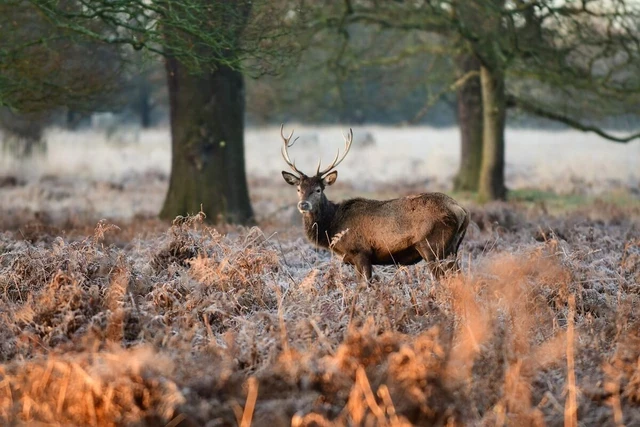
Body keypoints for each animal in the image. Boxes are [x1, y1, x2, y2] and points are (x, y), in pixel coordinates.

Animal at [280, 124, 470, 283]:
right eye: (298, 189)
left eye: (318, 189)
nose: (303, 205)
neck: (333, 225)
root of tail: (461, 211)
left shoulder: (360, 252)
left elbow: (364, 285)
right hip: (452, 248)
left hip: (433, 246)